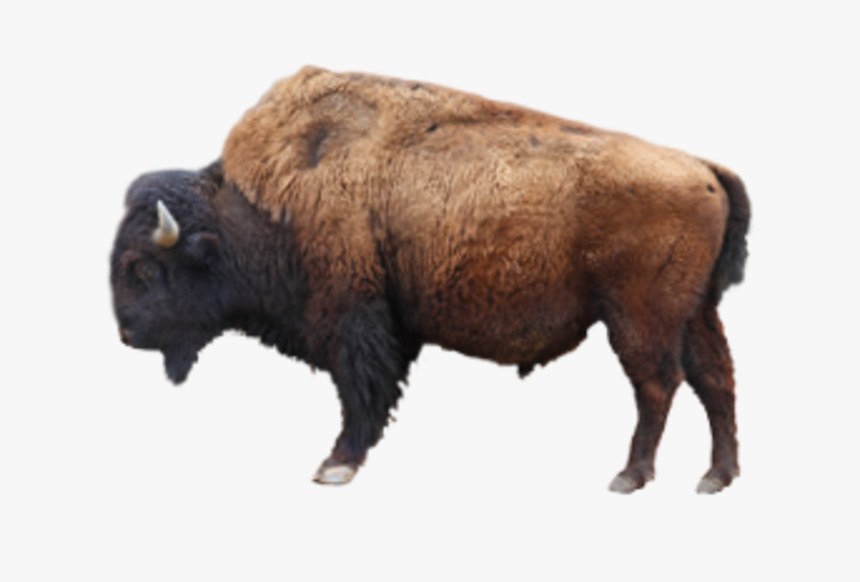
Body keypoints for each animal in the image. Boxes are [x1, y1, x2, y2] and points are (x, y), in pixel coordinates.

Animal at [111, 67, 750, 493]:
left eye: (143, 267)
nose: (126, 335)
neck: (259, 204)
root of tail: (703, 168)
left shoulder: (353, 317)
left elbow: (360, 390)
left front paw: (336, 465)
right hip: (696, 312)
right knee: (714, 379)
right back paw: (717, 476)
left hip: (637, 317)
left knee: (658, 384)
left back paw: (630, 475)